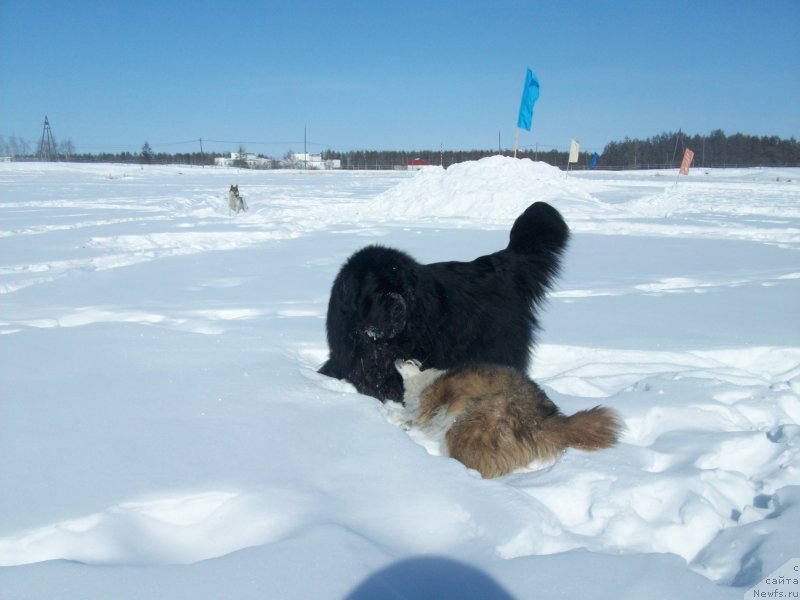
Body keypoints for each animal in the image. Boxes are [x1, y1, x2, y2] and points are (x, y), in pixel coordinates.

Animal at [394, 360, 624, 478]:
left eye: (409, 360)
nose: (397, 358)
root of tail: (540, 419)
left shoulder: (427, 404)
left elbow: (414, 417)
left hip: (469, 425)